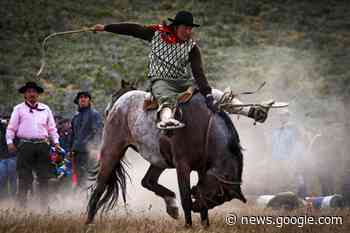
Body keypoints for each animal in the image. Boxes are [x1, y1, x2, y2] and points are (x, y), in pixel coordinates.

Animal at [86, 83, 247, 227]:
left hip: (159, 159)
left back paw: (172, 205)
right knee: (99, 187)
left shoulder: (202, 169)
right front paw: (188, 226)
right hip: (111, 151)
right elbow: (185, 198)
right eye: (214, 194)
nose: (196, 208)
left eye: (219, 198)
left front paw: (205, 225)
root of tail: (120, 100)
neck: (204, 127)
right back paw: (88, 222)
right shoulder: (182, 167)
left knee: (147, 181)